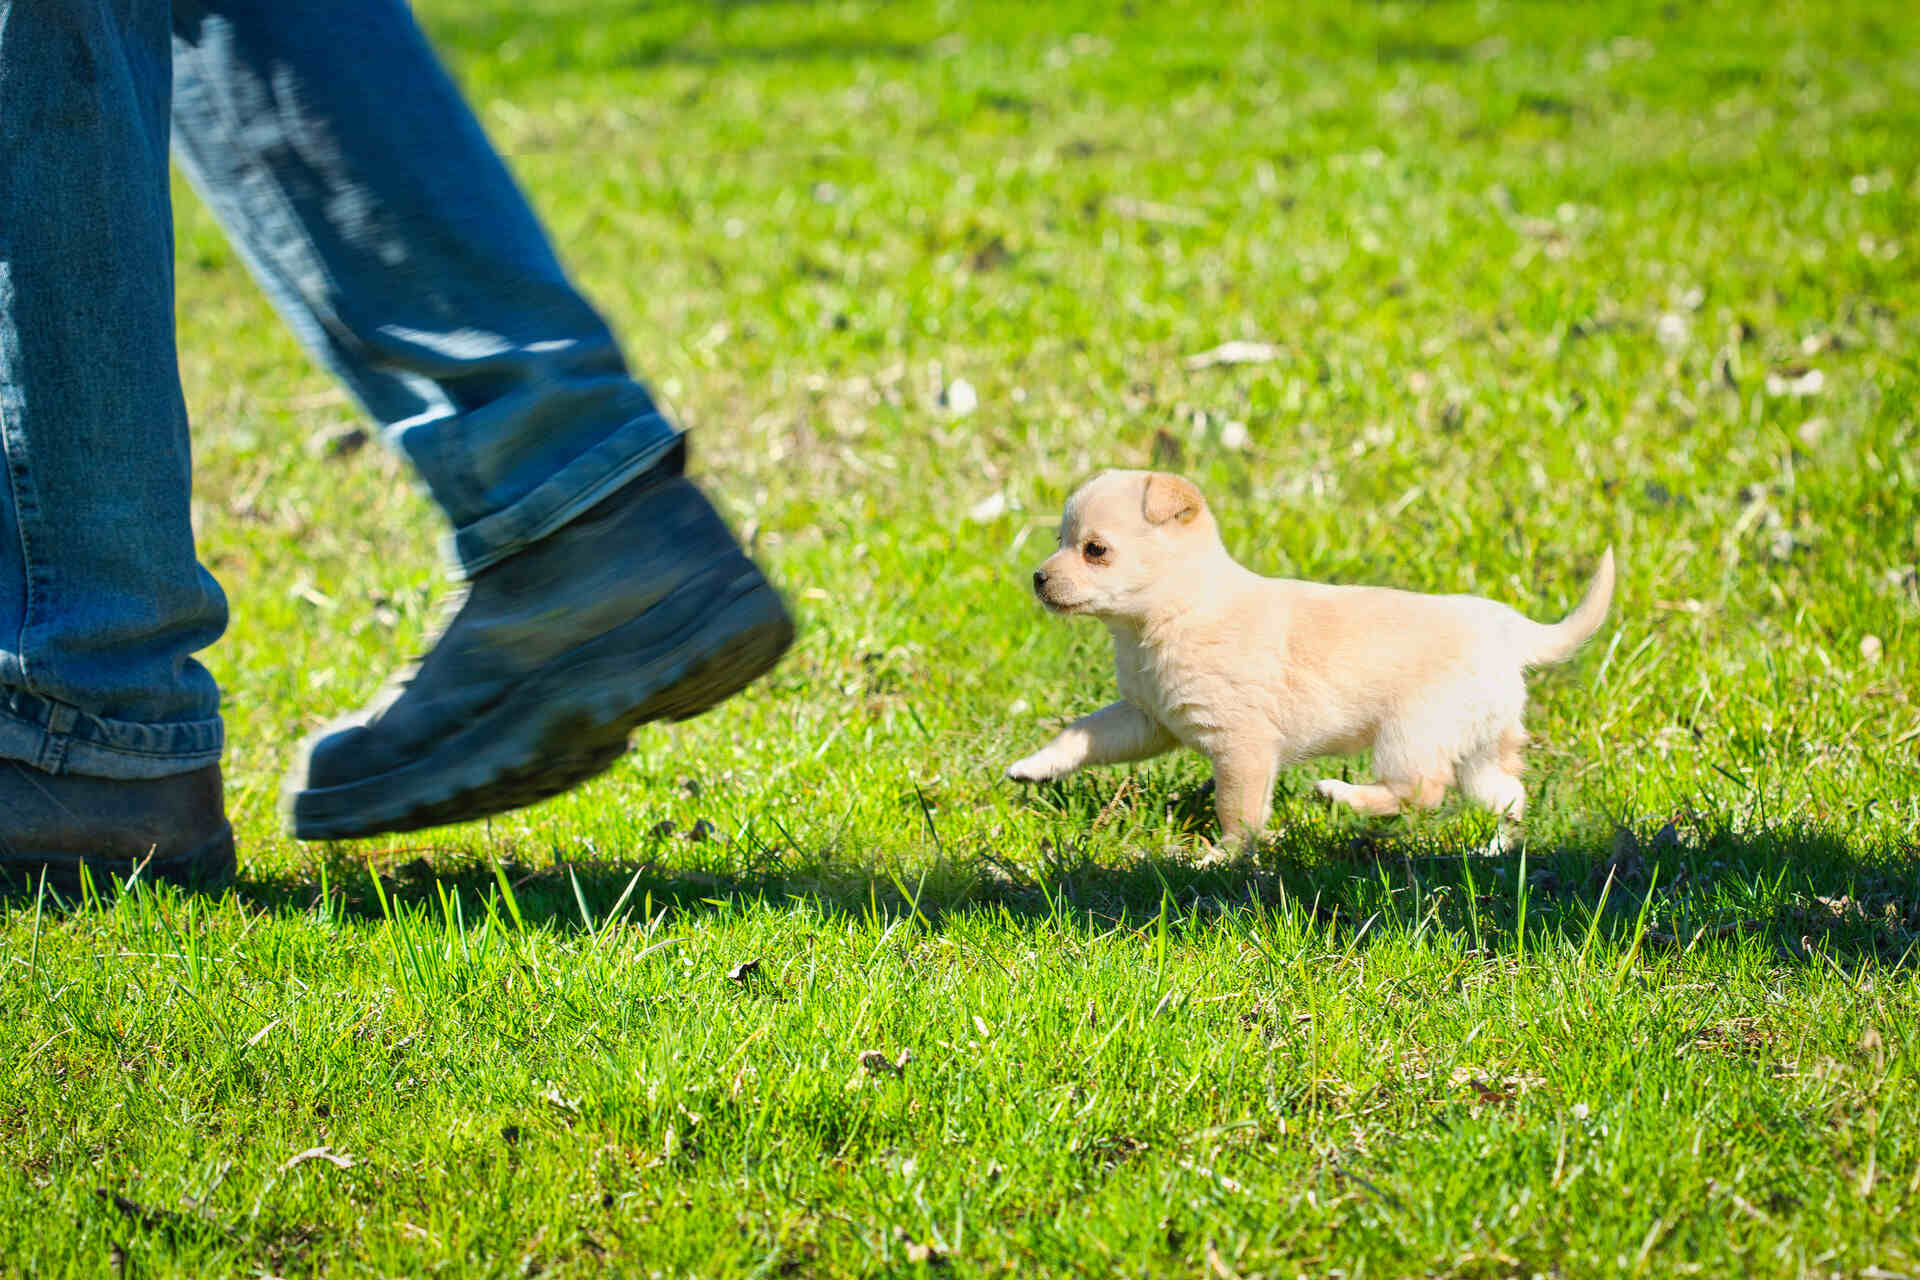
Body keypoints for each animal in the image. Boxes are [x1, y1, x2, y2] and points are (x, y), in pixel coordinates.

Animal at [1013, 470, 1612, 852]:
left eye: (1095, 550)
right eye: (1059, 539)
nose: (1038, 577)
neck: (1175, 613)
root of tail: (1507, 629)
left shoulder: (1243, 746)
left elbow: (1238, 811)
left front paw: (1222, 856)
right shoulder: (1146, 719)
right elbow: (1082, 733)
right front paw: (1034, 766)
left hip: (1410, 735)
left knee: (1420, 792)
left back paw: (1339, 795)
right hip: (1477, 748)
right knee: (1507, 794)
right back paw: (1497, 849)